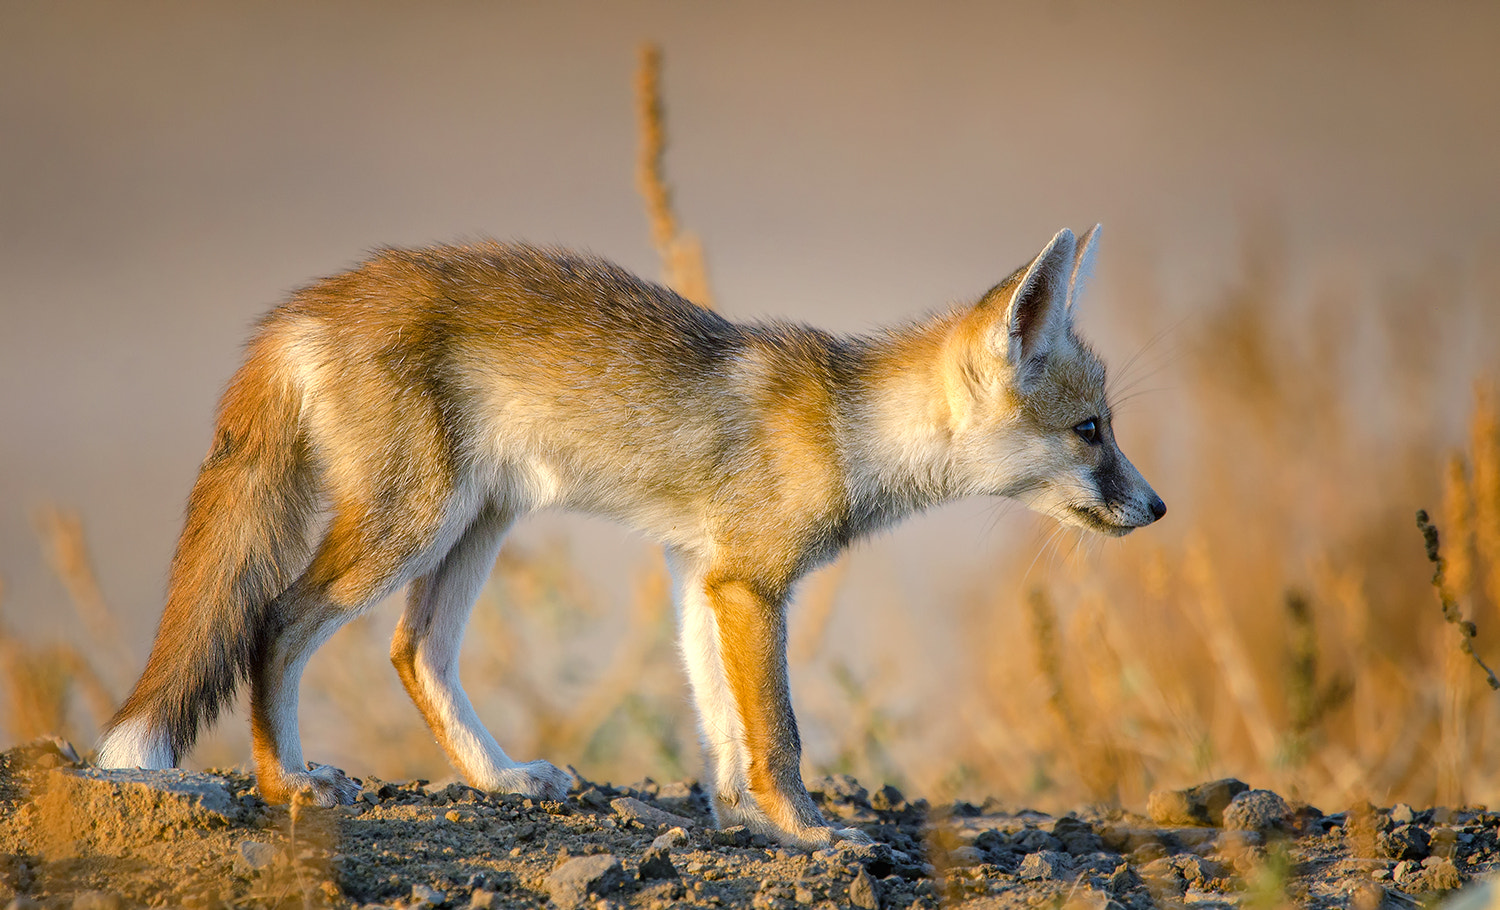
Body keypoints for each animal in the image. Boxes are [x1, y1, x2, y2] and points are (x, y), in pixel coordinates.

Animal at [93, 226, 1164, 845]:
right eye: (1092, 431)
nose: (1155, 510)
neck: (843, 428)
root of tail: (305, 305)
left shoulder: (702, 574)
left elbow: (722, 728)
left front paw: (741, 824)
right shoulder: (750, 584)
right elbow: (778, 735)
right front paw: (812, 836)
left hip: (475, 524)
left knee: (414, 652)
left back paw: (501, 778)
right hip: (412, 524)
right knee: (273, 622)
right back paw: (289, 783)